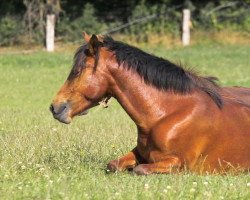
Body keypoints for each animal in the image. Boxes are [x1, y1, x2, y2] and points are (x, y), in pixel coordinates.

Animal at [50, 32, 250, 175]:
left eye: (77, 71)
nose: (55, 108)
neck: (167, 114)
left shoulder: (179, 164)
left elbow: (140, 170)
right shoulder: (139, 153)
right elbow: (113, 165)